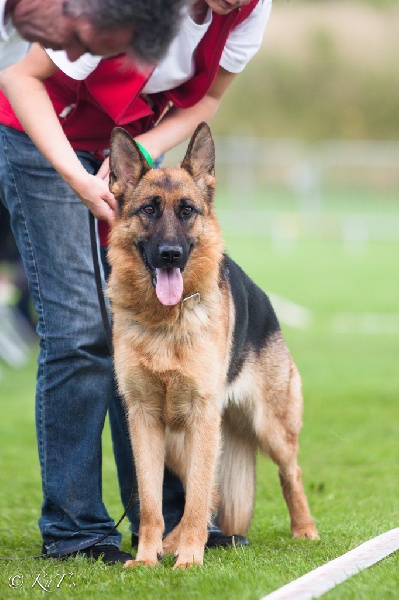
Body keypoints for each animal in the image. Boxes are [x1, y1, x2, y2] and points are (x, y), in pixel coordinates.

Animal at [106, 122, 318, 568]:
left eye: (187, 210)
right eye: (149, 210)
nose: (170, 254)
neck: (165, 322)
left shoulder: (202, 416)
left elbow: (196, 496)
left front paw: (189, 559)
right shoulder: (144, 420)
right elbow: (151, 502)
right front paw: (148, 558)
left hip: (267, 426)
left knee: (288, 472)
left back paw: (304, 530)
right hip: (179, 442)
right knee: (209, 494)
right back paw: (172, 542)